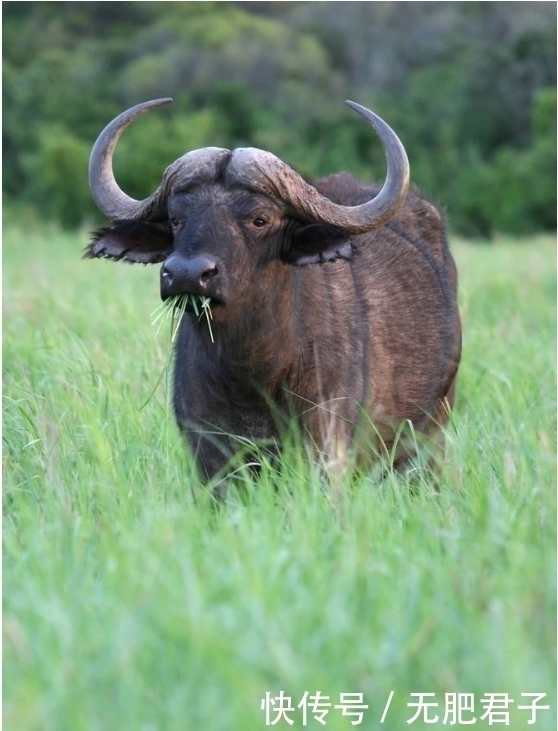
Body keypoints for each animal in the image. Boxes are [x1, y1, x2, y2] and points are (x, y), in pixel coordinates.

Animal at [86, 96, 464, 492]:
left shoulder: (325, 451)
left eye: (260, 219)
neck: (249, 374)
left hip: (430, 439)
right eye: (176, 218)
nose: (186, 274)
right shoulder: (210, 460)